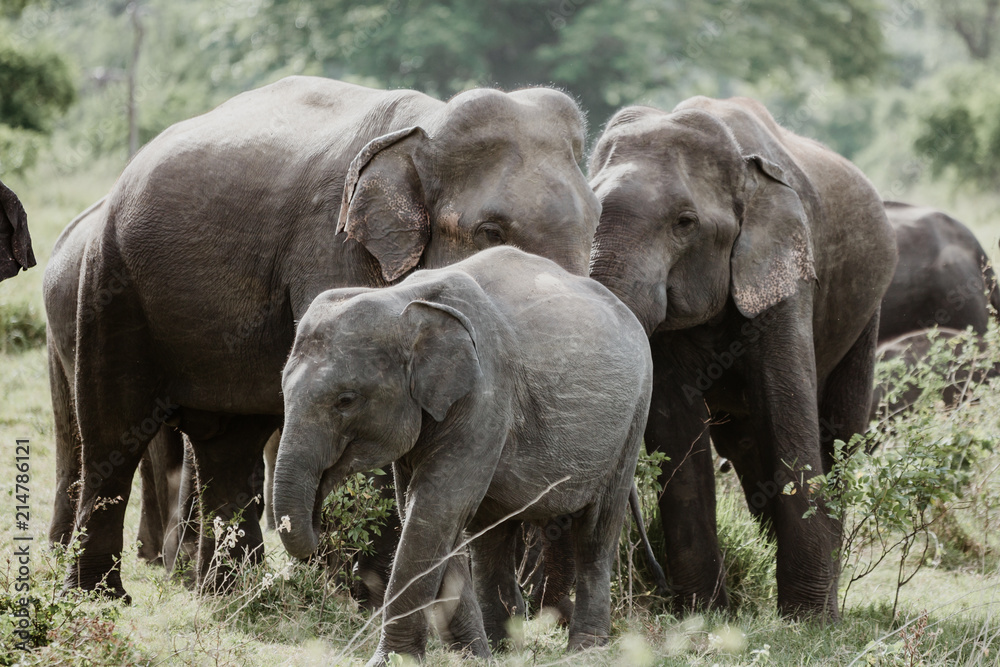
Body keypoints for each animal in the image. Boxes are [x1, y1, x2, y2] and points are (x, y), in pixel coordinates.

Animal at [51, 75, 600, 602]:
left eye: (595, 222)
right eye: (491, 232)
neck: (428, 125)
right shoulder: (333, 245)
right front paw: (367, 599)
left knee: (229, 444)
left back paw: (232, 596)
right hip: (113, 282)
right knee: (114, 430)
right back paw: (102, 597)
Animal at [273, 246, 653, 665]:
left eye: (345, 400)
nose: (317, 520)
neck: (404, 301)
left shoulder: (485, 395)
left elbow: (435, 509)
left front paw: (394, 660)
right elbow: (428, 514)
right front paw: (472, 657)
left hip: (633, 417)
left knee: (596, 532)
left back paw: (585, 651)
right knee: (490, 536)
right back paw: (504, 648)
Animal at [587, 96, 898, 620]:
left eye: (684, 223)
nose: (656, 580)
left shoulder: (787, 273)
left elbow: (786, 408)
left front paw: (807, 621)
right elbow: (675, 423)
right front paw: (703, 616)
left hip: (867, 308)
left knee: (839, 430)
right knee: (746, 445)